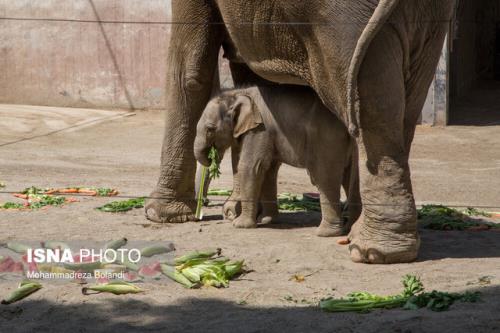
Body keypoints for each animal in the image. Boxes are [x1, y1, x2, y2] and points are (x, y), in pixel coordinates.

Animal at [193, 85, 362, 236]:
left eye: (210, 129)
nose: (204, 204)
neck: (237, 93)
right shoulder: (267, 135)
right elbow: (268, 170)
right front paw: (266, 220)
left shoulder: (260, 130)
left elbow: (251, 167)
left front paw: (239, 225)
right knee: (350, 179)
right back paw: (350, 227)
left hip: (326, 141)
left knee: (324, 178)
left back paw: (325, 233)